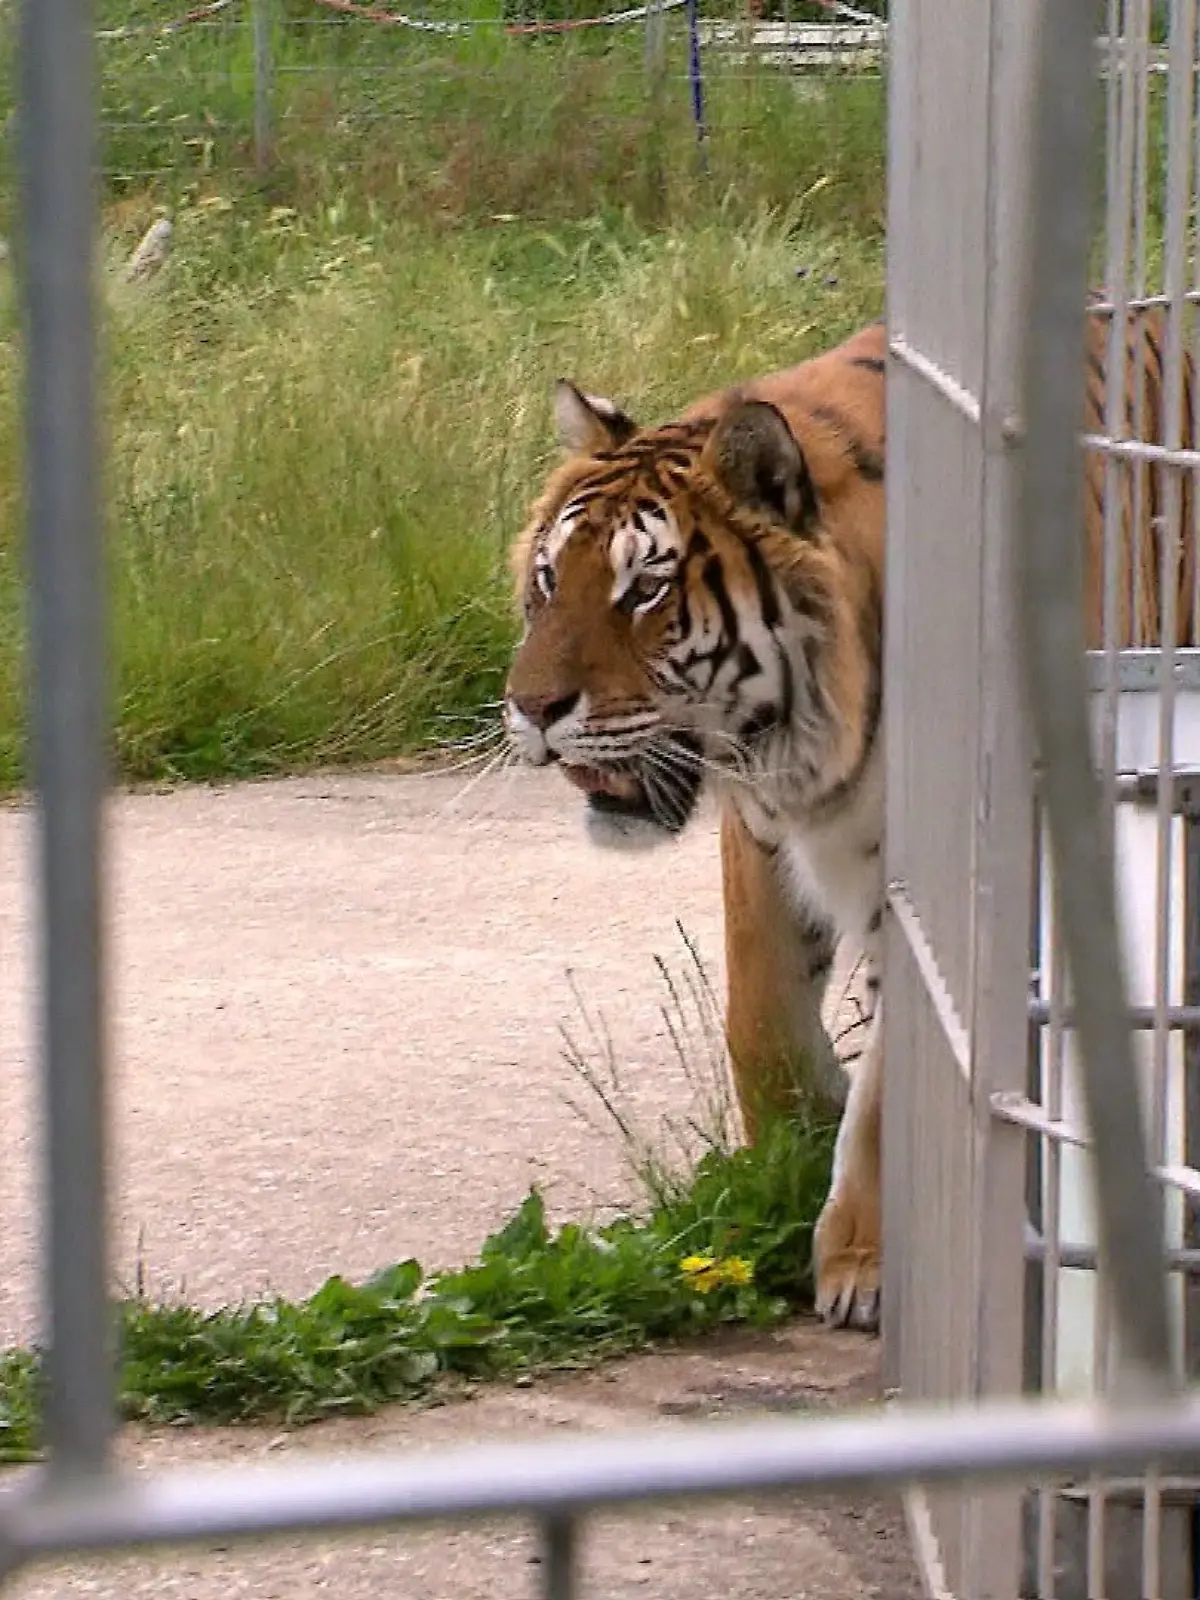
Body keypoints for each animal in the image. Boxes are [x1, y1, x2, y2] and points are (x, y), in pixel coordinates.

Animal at [502, 301, 1196, 1336]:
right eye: (550, 578)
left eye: (646, 588)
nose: (531, 709)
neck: (804, 738)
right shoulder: (762, 829)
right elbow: (759, 1018)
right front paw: (791, 1151)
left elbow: (894, 1079)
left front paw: (861, 1261)